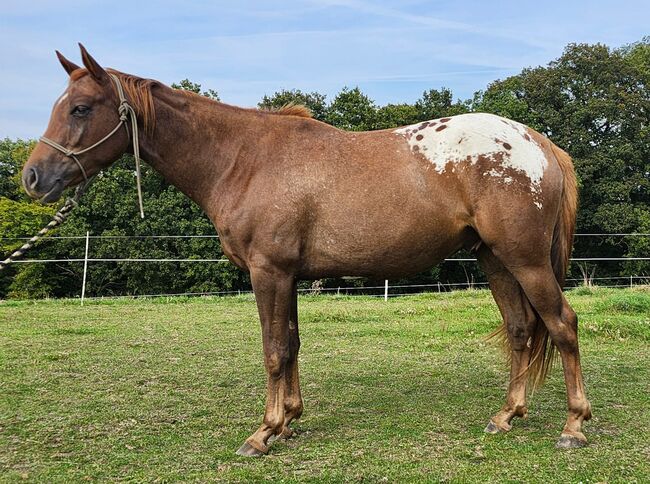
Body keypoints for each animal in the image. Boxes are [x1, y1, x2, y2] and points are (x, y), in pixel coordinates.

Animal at [22, 44, 591, 456]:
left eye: (80, 108)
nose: (32, 177)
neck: (243, 159)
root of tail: (539, 143)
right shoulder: (289, 276)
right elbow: (292, 344)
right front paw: (289, 422)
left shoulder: (268, 272)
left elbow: (274, 350)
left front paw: (263, 432)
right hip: (494, 260)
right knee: (521, 331)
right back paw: (506, 415)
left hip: (525, 260)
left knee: (562, 325)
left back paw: (574, 426)